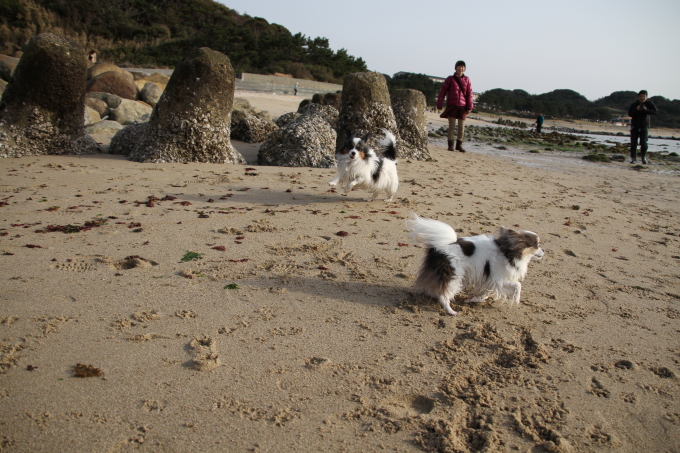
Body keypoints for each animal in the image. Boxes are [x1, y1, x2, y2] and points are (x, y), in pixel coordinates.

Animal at [406, 215, 544, 314]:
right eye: (537, 245)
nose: (544, 251)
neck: (508, 252)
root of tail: (439, 247)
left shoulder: (489, 281)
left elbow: (484, 295)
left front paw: (472, 299)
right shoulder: (498, 280)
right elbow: (517, 285)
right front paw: (516, 299)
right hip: (454, 276)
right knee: (444, 296)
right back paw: (450, 311)